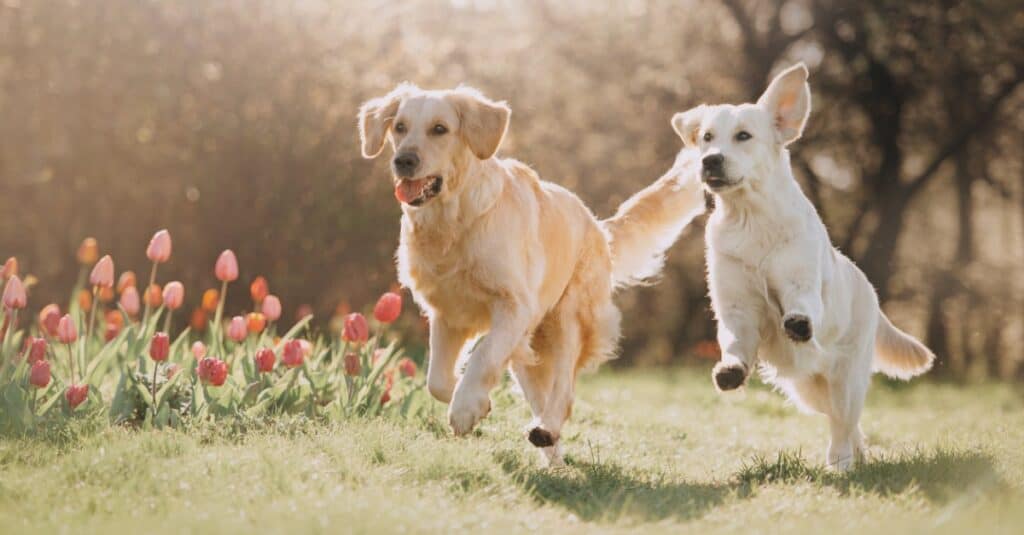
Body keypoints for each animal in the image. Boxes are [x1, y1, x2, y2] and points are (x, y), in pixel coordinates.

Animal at [358, 84, 704, 461]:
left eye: (440, 129)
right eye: (400, 127)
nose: (404, 161)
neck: (456, 220)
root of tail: (597, 224)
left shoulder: (514, 306)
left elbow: (483, 355)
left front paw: (465, 409)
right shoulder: (448, 314)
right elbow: (436, 380)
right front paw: (476, 403)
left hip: (568, 318)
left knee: (564, 393)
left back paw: (546, 429)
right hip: (529, 354)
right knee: (542, 398)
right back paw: (552, 455)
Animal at [671, 64, 937, 469]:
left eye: (743, 135)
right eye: (706, 137)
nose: (710, 160)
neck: (751, 219)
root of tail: (871, 292)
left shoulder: (802, 284)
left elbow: (801, 305)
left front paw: (797, 323)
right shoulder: (735, 306)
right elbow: (733, 340)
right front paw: (731, 370)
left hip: (845, 379)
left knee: (843, 423)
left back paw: (841, 464)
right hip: (808, 389)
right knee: (847, 423)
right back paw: (858, 454)